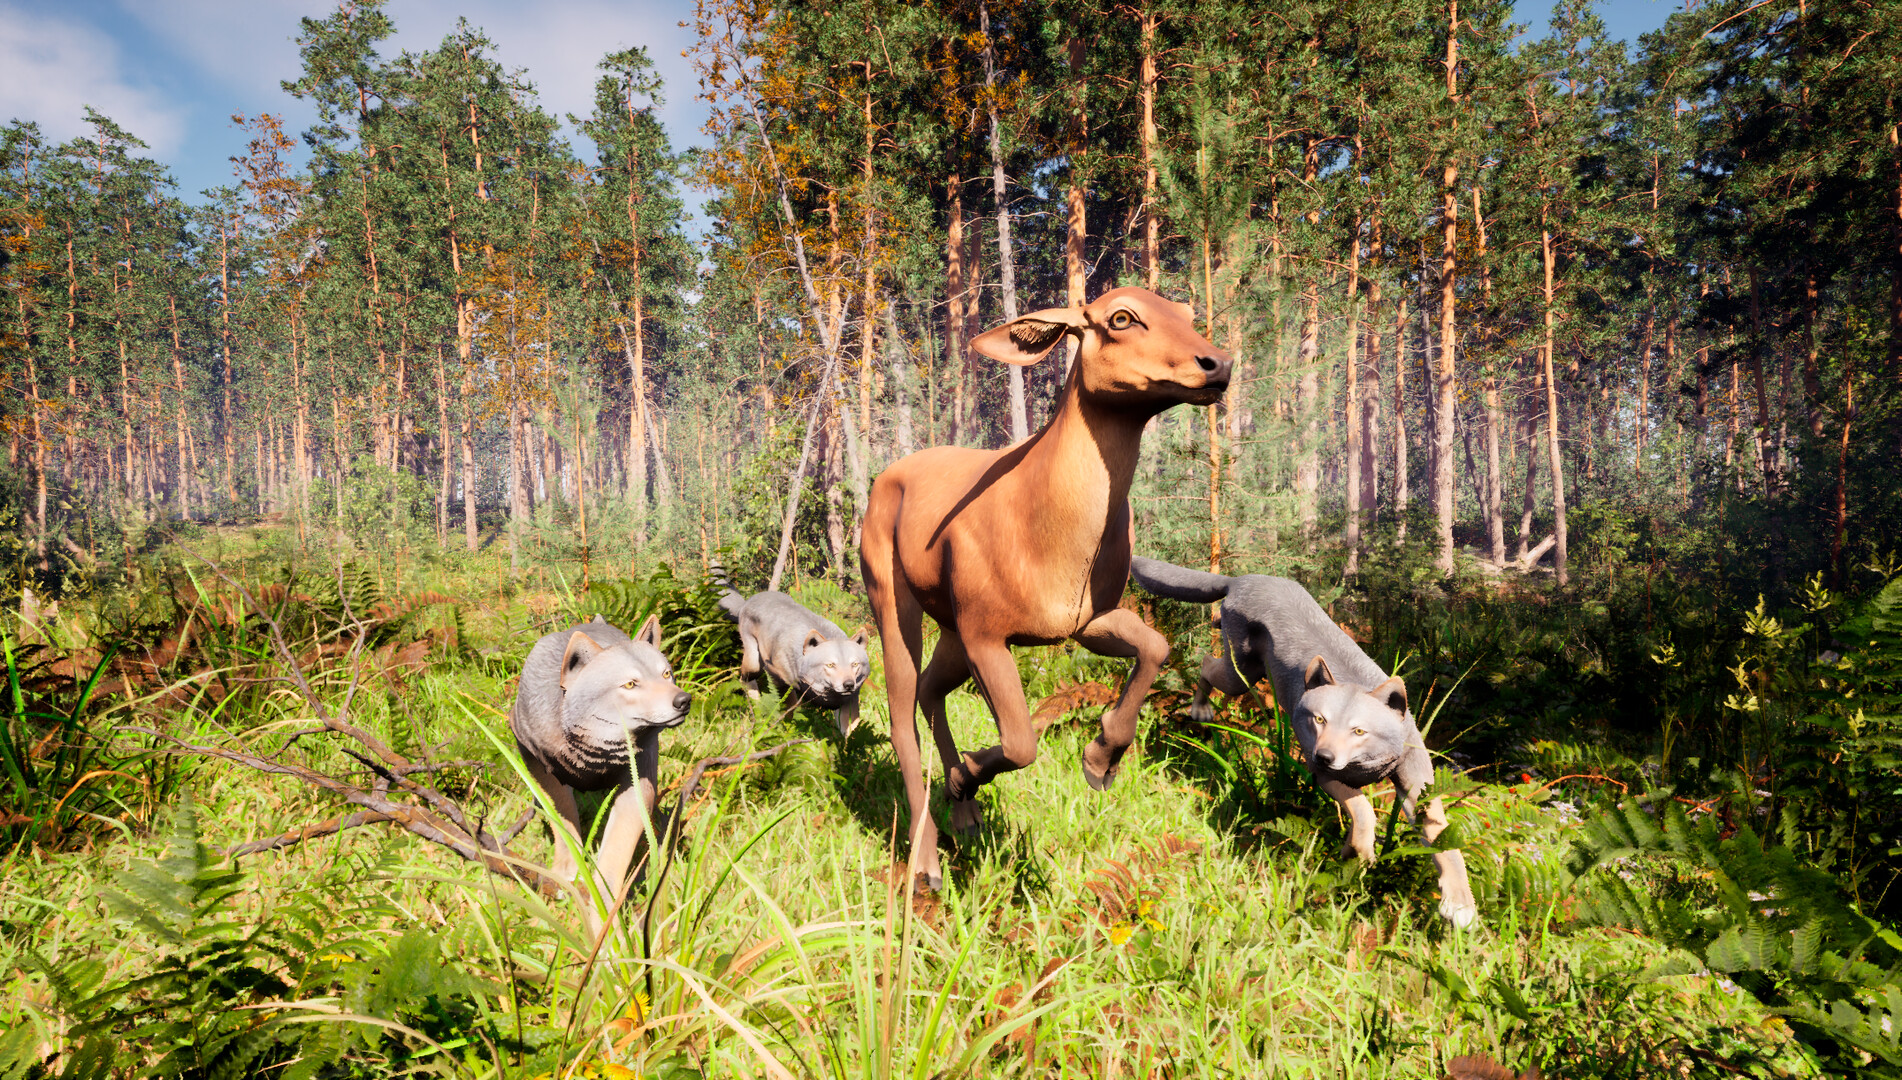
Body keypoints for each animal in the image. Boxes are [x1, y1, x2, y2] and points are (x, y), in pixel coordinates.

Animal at [511, 613, 691, 937]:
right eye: (630, 684)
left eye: (667, 674)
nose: (683, 700)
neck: (593, 758)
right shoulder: (534, 760)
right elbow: (564, 820)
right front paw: (566, 874)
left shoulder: (638, 783)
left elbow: (613, 859)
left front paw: (606, 927)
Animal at [717, 585, 871, 737]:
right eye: (831, 665)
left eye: (854, 664)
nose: (849, 685)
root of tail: (748, 600)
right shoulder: (781, 681)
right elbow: (788, 714)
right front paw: (786, 733)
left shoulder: (850, 701)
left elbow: (851, 732)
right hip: (754, 665)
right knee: (744, 679)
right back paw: (757, 710)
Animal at [1128, 557, 1477, 927]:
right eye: (1319, 720)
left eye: (1358, 731)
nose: (1324, 755)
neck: (1370, 765)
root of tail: (1243, 579)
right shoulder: (1322, 775)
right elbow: (1363, 809)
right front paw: (1363, 851)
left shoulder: (1417, 788)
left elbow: (1443, 841)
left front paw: (1460, 905)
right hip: (1240, 676)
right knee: (1207, 665)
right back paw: (1200, 709)